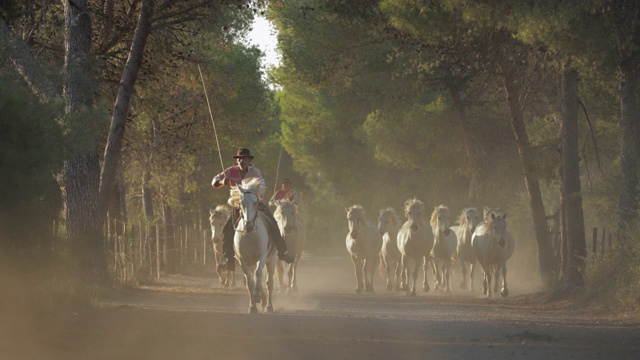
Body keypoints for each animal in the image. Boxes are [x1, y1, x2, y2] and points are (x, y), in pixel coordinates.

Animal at [229, 177, 276, 312]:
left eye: (255, 203)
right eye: (241, 203)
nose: (248, 226)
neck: (250, 236)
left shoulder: (262, 256)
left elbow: (258, 274)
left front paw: (256, 297)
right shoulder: (242, 260)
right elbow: (249, 281)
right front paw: (252, 306)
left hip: (271, 260)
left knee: (269, 282)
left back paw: (269, 306)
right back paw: (263, 301)